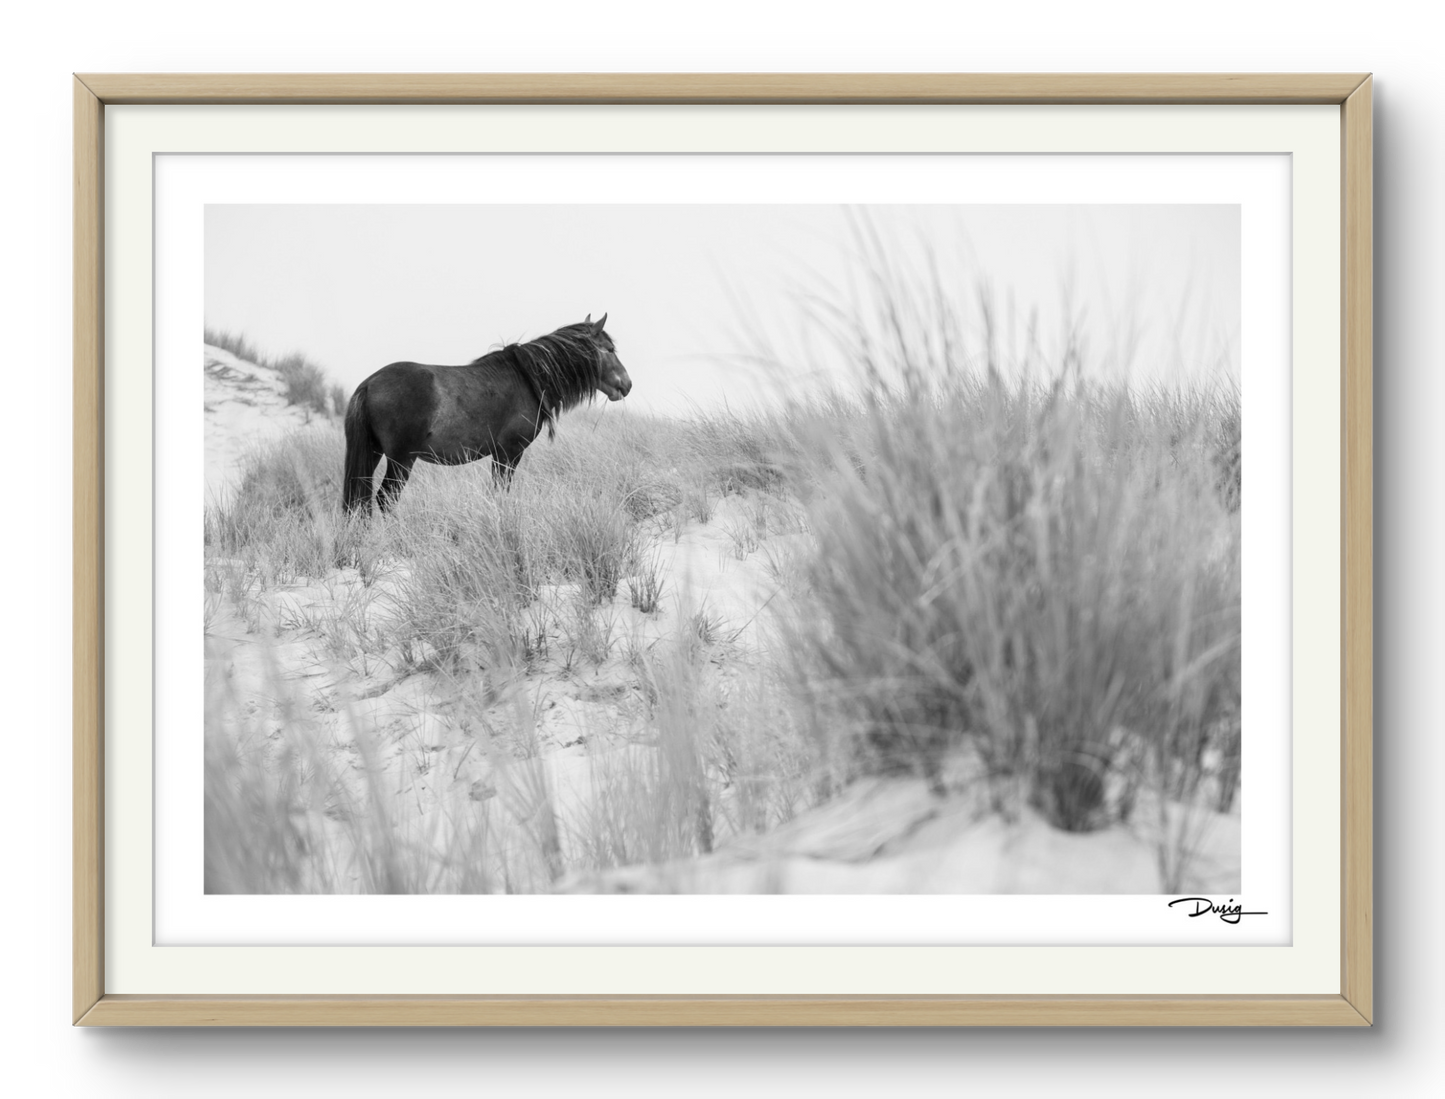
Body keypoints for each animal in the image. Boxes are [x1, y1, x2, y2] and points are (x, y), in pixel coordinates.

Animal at [343, 313, 632, 511]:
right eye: (610, 350)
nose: (627, 384)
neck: (527, 378)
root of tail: (368, 384)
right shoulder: (510, 453)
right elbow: (500, 493)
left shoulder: (501, 455)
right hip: (402, 459)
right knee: (386, 499)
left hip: (374, 453)